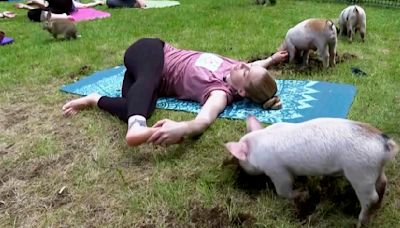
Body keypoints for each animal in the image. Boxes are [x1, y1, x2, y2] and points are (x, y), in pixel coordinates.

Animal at [225, 116, 396, 227]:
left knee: (371, 197)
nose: (241, 170)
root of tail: (385, 144)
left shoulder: (277, 170)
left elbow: (283, 190)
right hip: (374, 169)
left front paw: (303, 193)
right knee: (383, 183)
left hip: (360, 172)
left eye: (241, 159)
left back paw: (360, 222)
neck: (258, 143)